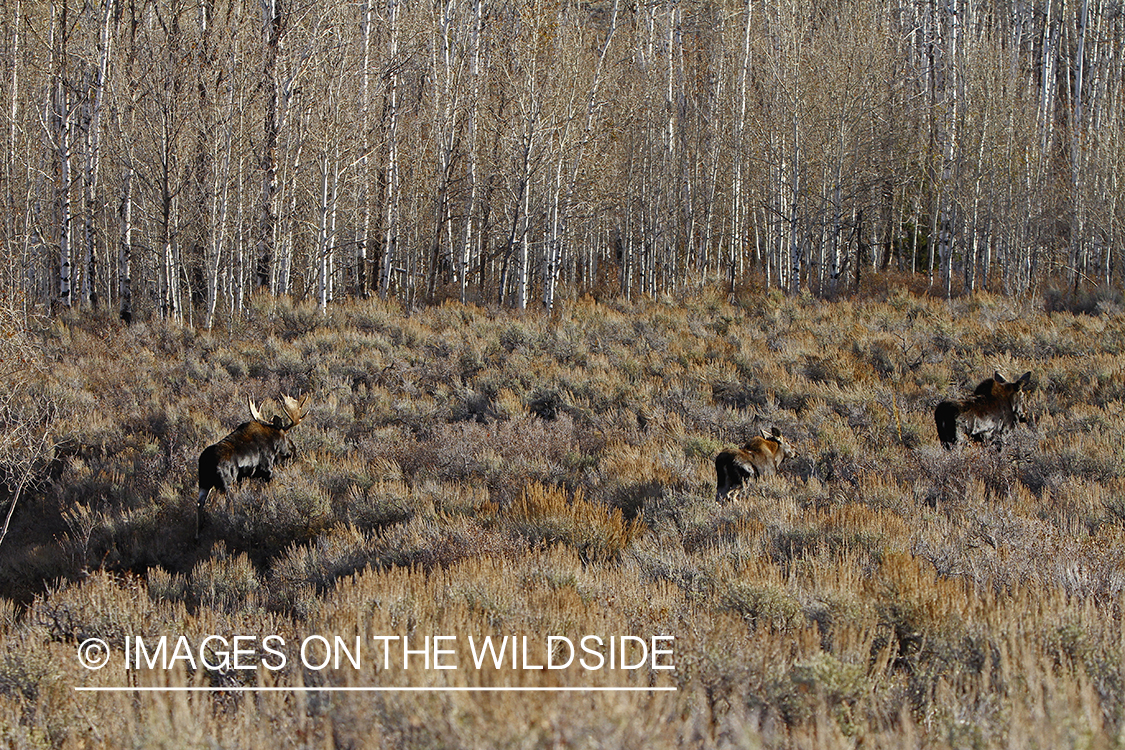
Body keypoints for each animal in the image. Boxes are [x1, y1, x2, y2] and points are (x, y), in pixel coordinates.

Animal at [196, 395, 310, 537]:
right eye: (286, 436)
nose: (294, 451)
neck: (274, 443)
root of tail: (206, 461)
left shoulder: (242, 478)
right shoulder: (267, 471)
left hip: (204, 482)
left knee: (200, 503)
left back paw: (198, 533)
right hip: (225, 483)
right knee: (217, 503)